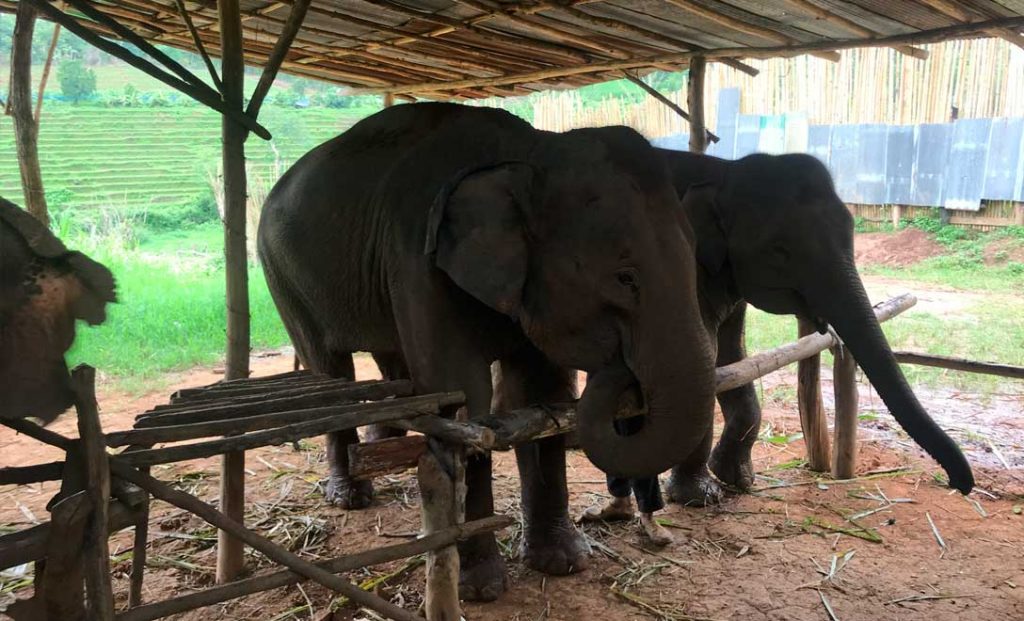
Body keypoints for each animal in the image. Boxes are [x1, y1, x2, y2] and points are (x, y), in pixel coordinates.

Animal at [256, 102, 717, 601]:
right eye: (624, 277)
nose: (623, 368)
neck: (528, 152)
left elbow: (539, 395)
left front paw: (563, 562)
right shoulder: (417, 258)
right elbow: (462, 399)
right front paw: (479, 588)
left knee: (391, 360)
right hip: (282, 275)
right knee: (331, 368)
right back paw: (350, 495)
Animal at [593, 150, 973, 520]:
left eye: (850, 232)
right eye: (779, 250)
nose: (959, 485)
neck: (722, 170)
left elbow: (731, 355)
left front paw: (739, 479)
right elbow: (696, 361)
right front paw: (700, 496)